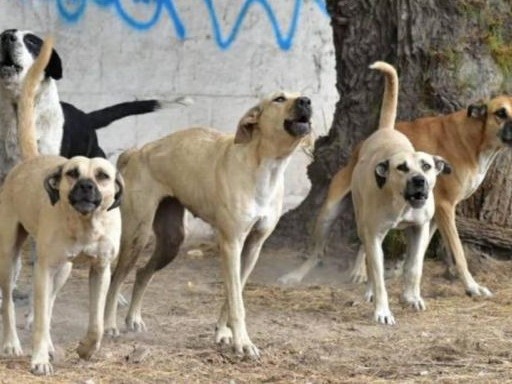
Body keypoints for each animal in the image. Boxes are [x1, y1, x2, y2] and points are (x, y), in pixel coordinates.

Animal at [0, 36, 123, 376]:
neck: (84, 224)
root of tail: (31, 159)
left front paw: (86, 348)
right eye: (71, 173)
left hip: (63, 270)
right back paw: (12, 344)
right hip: (10, 257)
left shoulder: (100, 270)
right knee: (9, 302)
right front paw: (39, 359)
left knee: (50, 304)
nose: (85, 186)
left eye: (103, 176)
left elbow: (95, 322)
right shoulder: (42, 269)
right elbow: (39, 318)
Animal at [103, 91, 312, 358]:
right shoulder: (231, 244)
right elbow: (236, 302)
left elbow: (232, 296)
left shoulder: (253, 247)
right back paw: (109, 325)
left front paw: (224, 334)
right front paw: (243, 342)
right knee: (115, 278)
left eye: (301, 95)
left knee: (141, 273)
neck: (265, 167)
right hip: (136, 236)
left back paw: (134, 319)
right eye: (279, 98)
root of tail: (137, 151)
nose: (307, 101)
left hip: (171, 242)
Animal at [278, 81, 512, 300]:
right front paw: (472, 287)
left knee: (365, 240)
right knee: (319, 252)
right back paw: (300, 274)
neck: (475, 136)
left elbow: (420, 249)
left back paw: (361, 271)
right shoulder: (446, 208)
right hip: (330, 211)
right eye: (501, 113)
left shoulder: (432, 216)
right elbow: (459, 252)